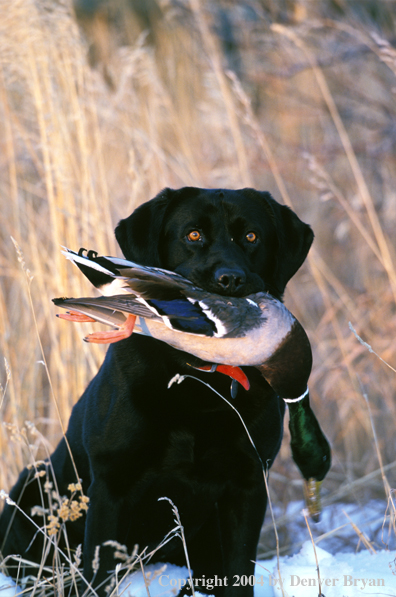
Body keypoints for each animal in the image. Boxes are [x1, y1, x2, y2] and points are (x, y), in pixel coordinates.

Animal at [0, 186, 316, 592]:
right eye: (192, 234)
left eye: (251, 236)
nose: (230, 279)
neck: (197, 387)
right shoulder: (112, 483)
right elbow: (99, 572)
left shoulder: (248, 485)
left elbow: (237, 571)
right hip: (33, 483)